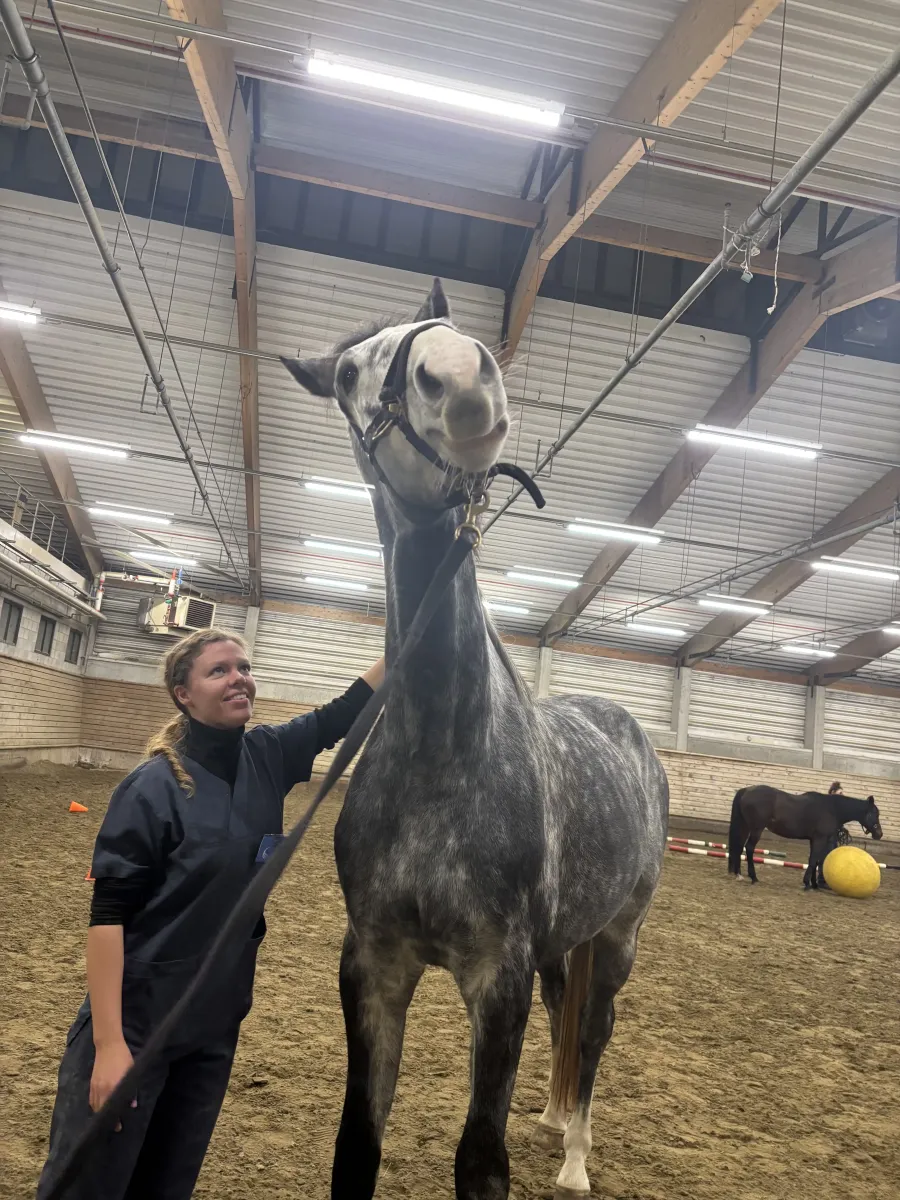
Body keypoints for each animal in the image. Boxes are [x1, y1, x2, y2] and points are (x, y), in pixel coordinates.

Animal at [282, 279, 669, 1200]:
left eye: (450, 326)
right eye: (346, 374)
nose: (461, 377)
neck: (441, 752)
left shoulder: (499, 976)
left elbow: (480, 1159)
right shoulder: (374, 964)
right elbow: (357, 1143)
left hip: (619, 938)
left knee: (594, 1034)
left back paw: (574, 1158)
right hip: (566, 943)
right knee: (570, 1016)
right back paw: (555, 1119)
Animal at [728, 784, 883, 889]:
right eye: (874, 813)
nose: (879, 834)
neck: (832, 809)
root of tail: (746, 790)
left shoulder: (814, 840)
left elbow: (815, 860)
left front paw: (813, 884)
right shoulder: (820, 838)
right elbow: (814, 859)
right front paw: (807, 883)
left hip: (745, 827)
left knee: (739, 847)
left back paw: (739, 874)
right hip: (756, 829)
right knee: (749, 848)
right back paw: (753, 877)